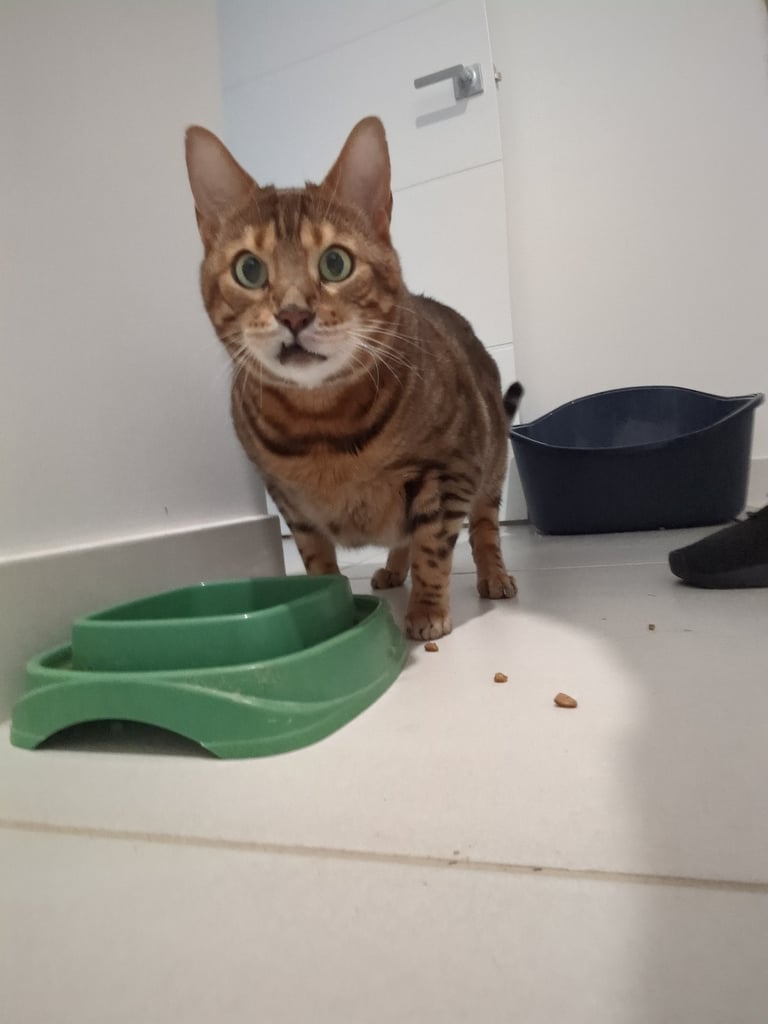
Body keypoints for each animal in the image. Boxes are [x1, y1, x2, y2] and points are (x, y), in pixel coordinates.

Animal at [184, 116, 522, 640]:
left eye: (335, 262)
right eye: (249, 269)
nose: (294, 314)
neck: (322, 427)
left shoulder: (451, 471)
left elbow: (433, 546)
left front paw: (427, 611)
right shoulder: (290, 504)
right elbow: (318, 558)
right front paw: (328, 604)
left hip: (491, 464)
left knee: (484, 528)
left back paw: (494, 576)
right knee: (402, 538)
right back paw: (391, 570)